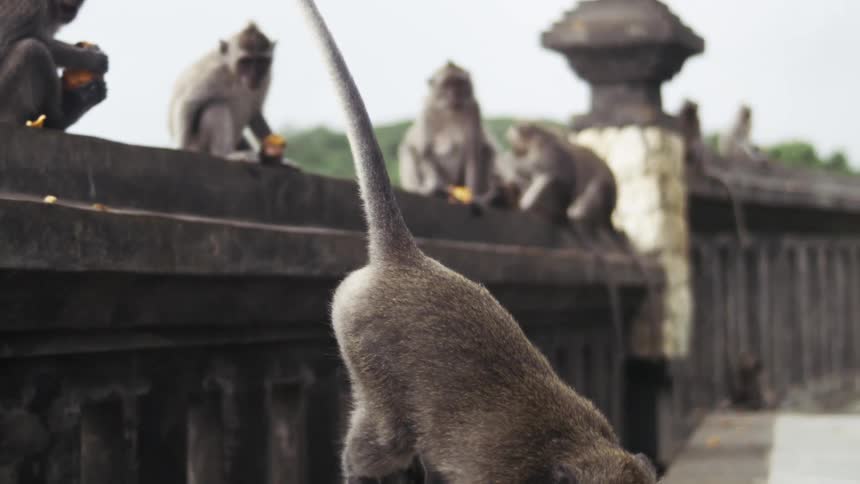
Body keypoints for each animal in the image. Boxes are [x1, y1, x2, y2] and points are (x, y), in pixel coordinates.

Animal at [168, 22, 278, 163]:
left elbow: (255, 114)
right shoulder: (213, 73)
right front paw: (182, 147)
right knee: (217, 107)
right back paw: (225, 154)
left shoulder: (266, 78)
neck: (234, 75)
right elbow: (187, 104)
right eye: (246, 61)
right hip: (199, 144)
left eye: (261, 62)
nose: (254, 76)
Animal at [397, 61, 501, 209]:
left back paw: (485, 197)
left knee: (487, 150)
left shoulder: (474, 110)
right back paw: (427, 190)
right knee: (409, 149)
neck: (450, 110)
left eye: (459, 83)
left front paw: (473, 197)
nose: (455, 93)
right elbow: (425, 151)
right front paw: (436, 189)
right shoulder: (426, 112)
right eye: (447, 85)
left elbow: (473, 153)